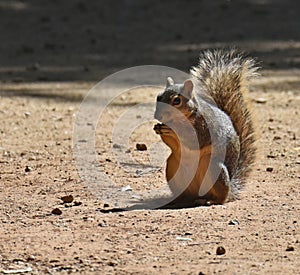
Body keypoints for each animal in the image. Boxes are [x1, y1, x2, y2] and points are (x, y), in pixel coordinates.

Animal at [154, 49, 256, 207]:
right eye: (158, 97)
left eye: (177, 100)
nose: (158, 116)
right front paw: (159, 128)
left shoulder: (204, 127)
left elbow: (194, 140)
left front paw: (171, 129)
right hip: (172, 166)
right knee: (185, 195)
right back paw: (176, 200)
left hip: (213, 168)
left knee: (221, 197)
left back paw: (210, 200)